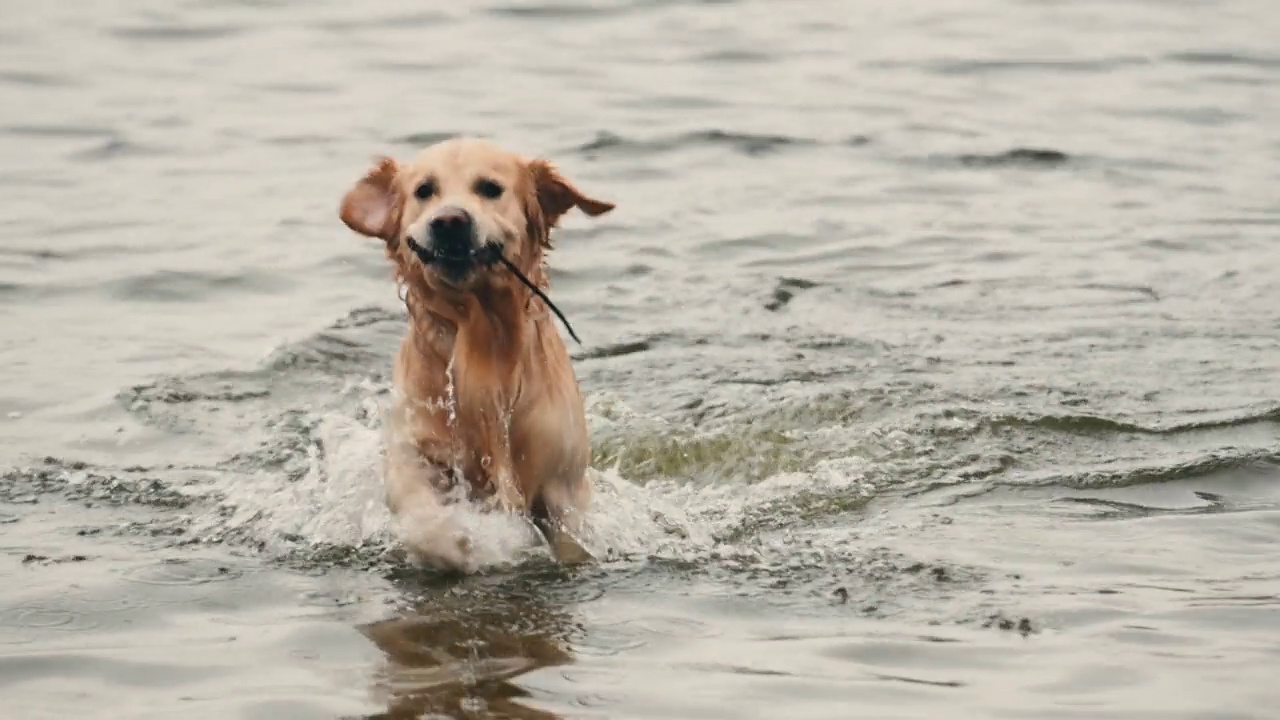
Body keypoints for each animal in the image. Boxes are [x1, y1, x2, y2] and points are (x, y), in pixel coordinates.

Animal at [337, 137, 616, 568]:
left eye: (489, 188)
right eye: (424, 190)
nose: (449, 220)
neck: (481, 336)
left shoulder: (563, 486)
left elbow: (571, 541)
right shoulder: (413, 451)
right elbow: (422, 518)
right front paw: (459, 544)